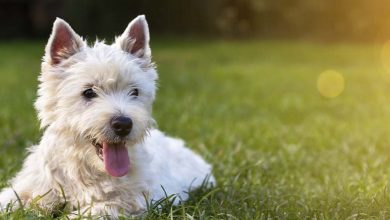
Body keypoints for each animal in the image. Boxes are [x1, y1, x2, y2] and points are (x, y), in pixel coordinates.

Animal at [0, 15, 215, 218]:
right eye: (88, 92)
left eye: (135, 91)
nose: (123, 124)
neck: (86, 168)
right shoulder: (32, 188)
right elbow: (11, 199)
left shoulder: (121, 204)